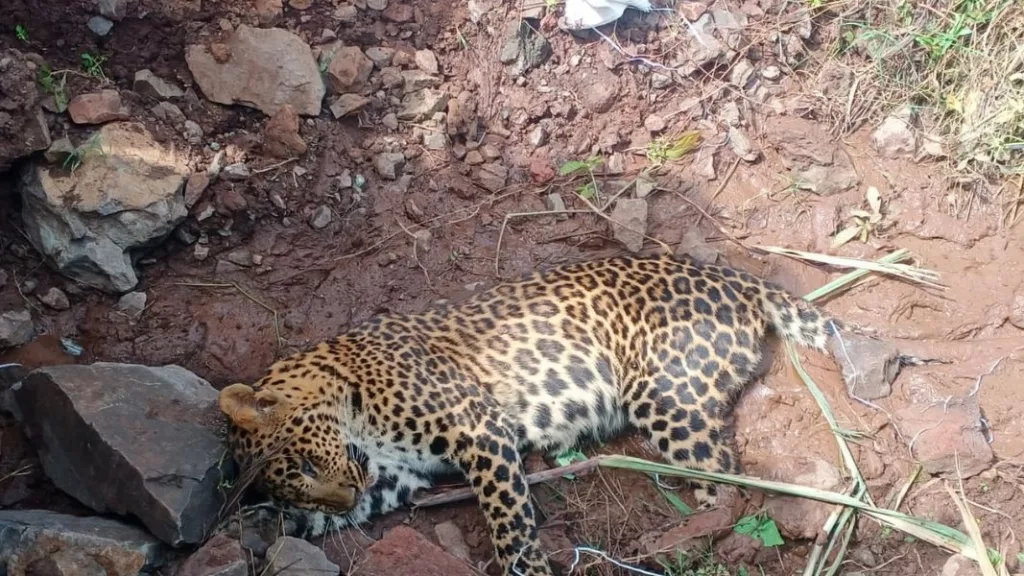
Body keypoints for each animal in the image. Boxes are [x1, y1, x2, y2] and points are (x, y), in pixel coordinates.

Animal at [218, 253, 841, 576]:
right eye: (297, 481)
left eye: (303, 464)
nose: (343, 498)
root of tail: (742, 279)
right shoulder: (393, 480)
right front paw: (260, 524)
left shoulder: (480, 429)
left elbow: (508, 521)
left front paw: (529, 568)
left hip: (664, 395)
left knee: (732, 486)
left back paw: (680, 542)